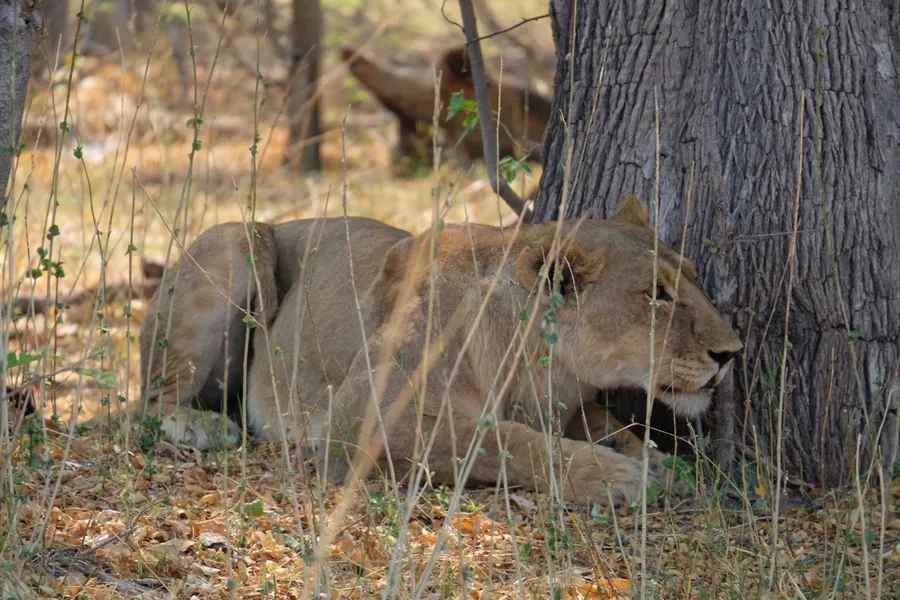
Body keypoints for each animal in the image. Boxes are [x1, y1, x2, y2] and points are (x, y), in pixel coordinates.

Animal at [139, 195, 742, 505]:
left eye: (691, 278)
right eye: (656, 295)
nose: (732, 352)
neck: (541, 366)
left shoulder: (568, 404)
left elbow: (610, 426)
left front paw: (657, 462)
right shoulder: (360, 417)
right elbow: (498, 440)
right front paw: (616, 477)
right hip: (239, 242)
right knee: (149, 401)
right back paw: (201, 427)